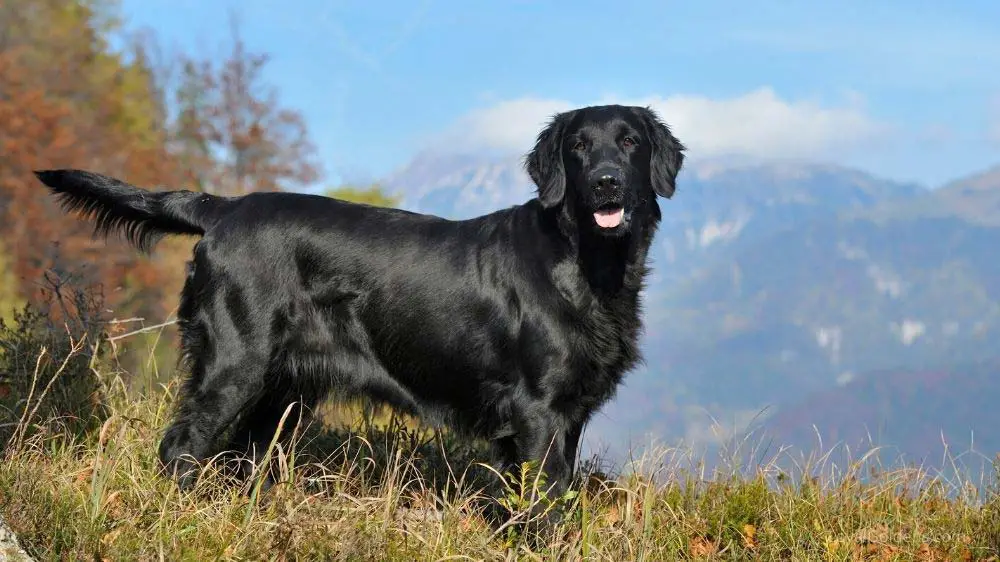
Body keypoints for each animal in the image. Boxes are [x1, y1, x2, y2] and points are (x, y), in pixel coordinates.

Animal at [35, 103, 684, 506]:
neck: (587, 261)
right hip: (234, 365)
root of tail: (225, 208)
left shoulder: (569, 415)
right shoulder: (539, 412)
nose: (606, 182)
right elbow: (544, 507)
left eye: (629, 142)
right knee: (181, 449)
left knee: (238, 458)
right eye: (579, 146)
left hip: (280, 393)